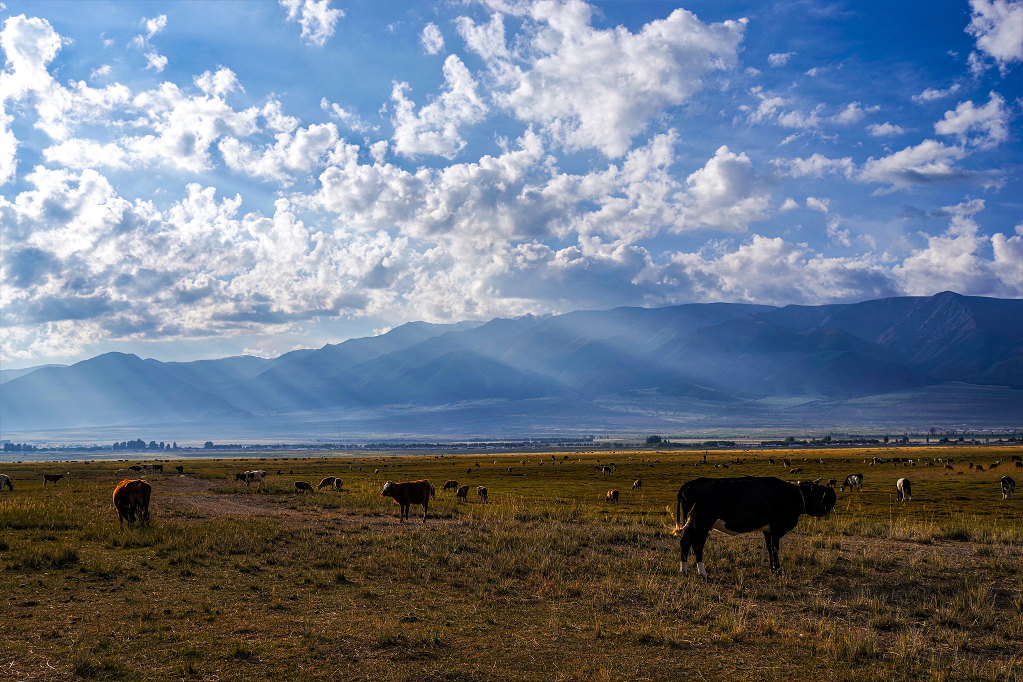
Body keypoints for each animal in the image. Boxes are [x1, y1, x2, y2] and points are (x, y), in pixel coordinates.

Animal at [671, 478, 838, 580]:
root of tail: (691, 483)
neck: (793, 495)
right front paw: (779, 570)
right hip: (702, 524)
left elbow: (770, 548)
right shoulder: (776, 529)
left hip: (692, 524)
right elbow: (775, 549)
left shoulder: (768, 530)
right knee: (697, 545)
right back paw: (703, 573)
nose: (828, 510)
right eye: (823, 495)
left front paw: (773, 569)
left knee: (685, 542)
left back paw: (683, 570)